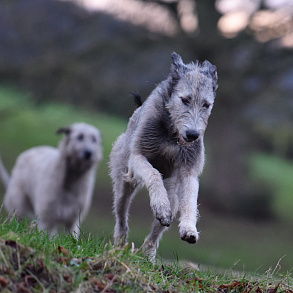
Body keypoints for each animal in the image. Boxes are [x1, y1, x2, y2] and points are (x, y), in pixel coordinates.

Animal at [109, 52, 217, 260]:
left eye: (206, 105)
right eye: (185, 100)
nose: (192, 135)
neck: (172, 133)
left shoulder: (188, 170)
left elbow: (191, 198)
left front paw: (189, 228)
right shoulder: (138, 157)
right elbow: (152, 173)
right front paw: (160, 205)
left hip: (173, 193)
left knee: (160, 226)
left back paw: (148, 254)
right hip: (123, 181)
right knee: (121, 215)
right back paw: (120, 245)